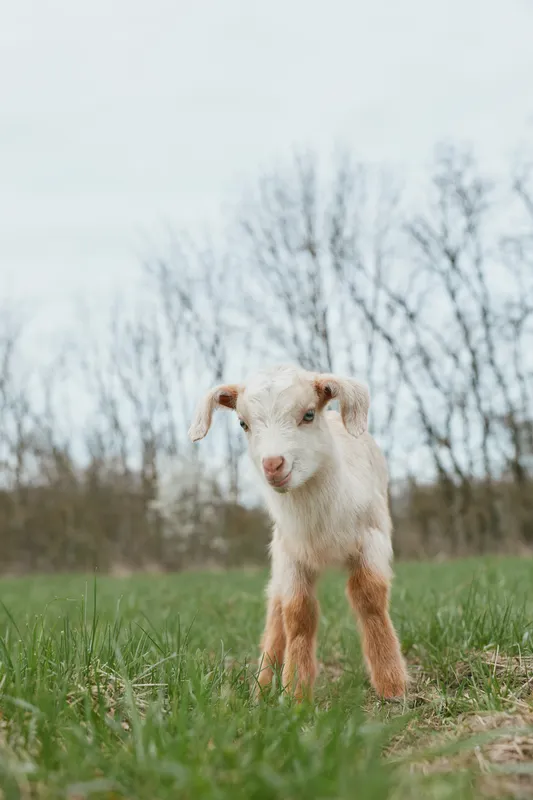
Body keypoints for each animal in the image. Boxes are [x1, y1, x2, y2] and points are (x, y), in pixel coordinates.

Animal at [188, 364, 407, 701]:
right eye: (243, 423)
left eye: (308, 414)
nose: (273, 464)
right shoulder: (291, 554)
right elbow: (297, 613)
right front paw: (295, 693)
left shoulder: (373, 538)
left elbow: (369, 598)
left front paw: (392, 685)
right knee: (276, 607)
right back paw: (263, 685)